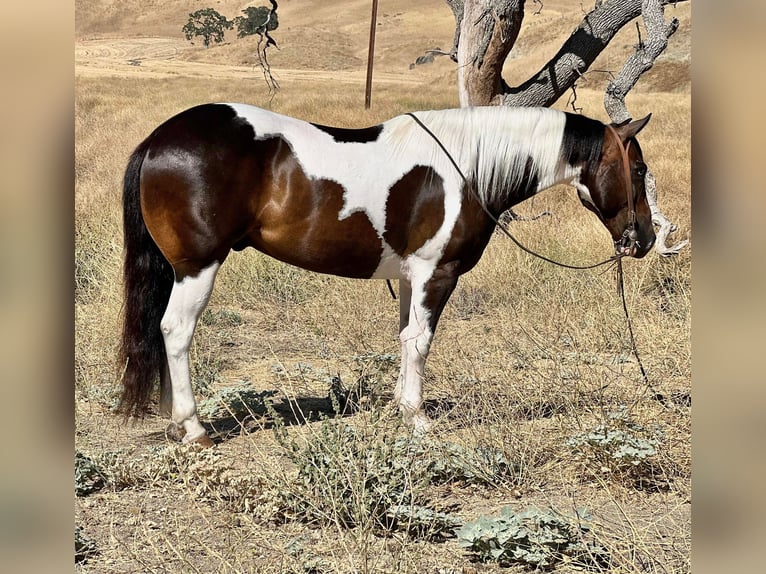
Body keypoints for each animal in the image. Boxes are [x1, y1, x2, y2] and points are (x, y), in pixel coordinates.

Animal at [117, 102, 656, 446]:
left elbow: (404, 338)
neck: (467, 168)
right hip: (197, 268)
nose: (646, 240)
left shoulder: (411, 277)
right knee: (176, 331)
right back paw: (193, 429)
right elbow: (421, 341)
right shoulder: (437, 273)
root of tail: (157, 140)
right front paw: (418, 418)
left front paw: (401, 406)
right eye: (640, 169)